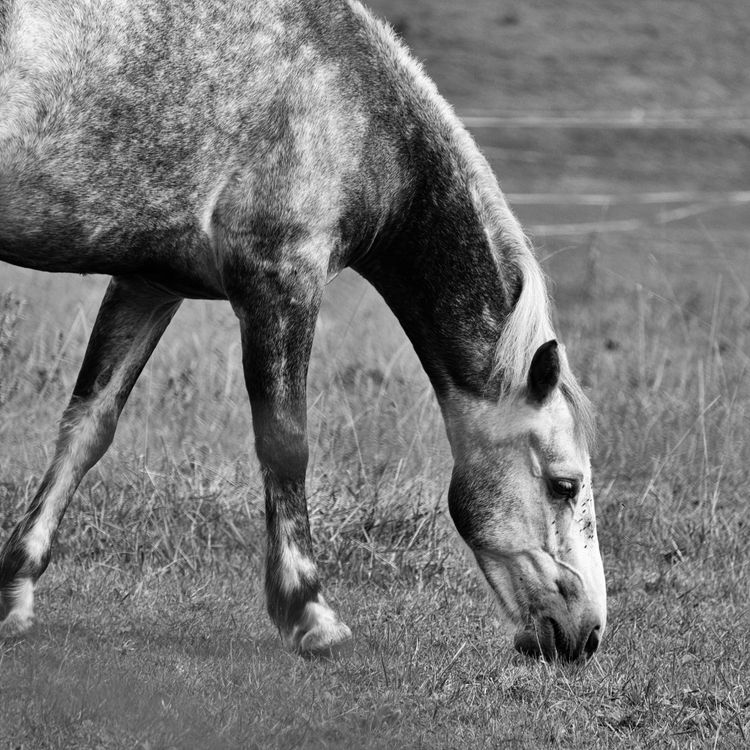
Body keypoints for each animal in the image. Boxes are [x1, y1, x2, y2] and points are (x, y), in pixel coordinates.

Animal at [0, 0, 606, 660]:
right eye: (565, 485)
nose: (590, 634)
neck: (355, 110)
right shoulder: (281, 283)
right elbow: (286, 444)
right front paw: (310, 611)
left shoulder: (148, 285)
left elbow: (87, 428)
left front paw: (15, 592)